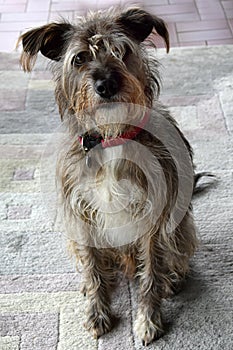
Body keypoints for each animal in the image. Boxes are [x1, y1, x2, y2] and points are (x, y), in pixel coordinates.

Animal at [18, 7, 200, 344]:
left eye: (121, 51)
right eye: (79, 58)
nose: (106, 85)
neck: (111, 136)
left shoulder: (153, 217)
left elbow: (151, 272)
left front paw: (148, 319)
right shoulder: (81, 215)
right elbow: (92, 268)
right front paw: (97, 312)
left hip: (180, 226)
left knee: (175, 254)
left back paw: (173, 278)